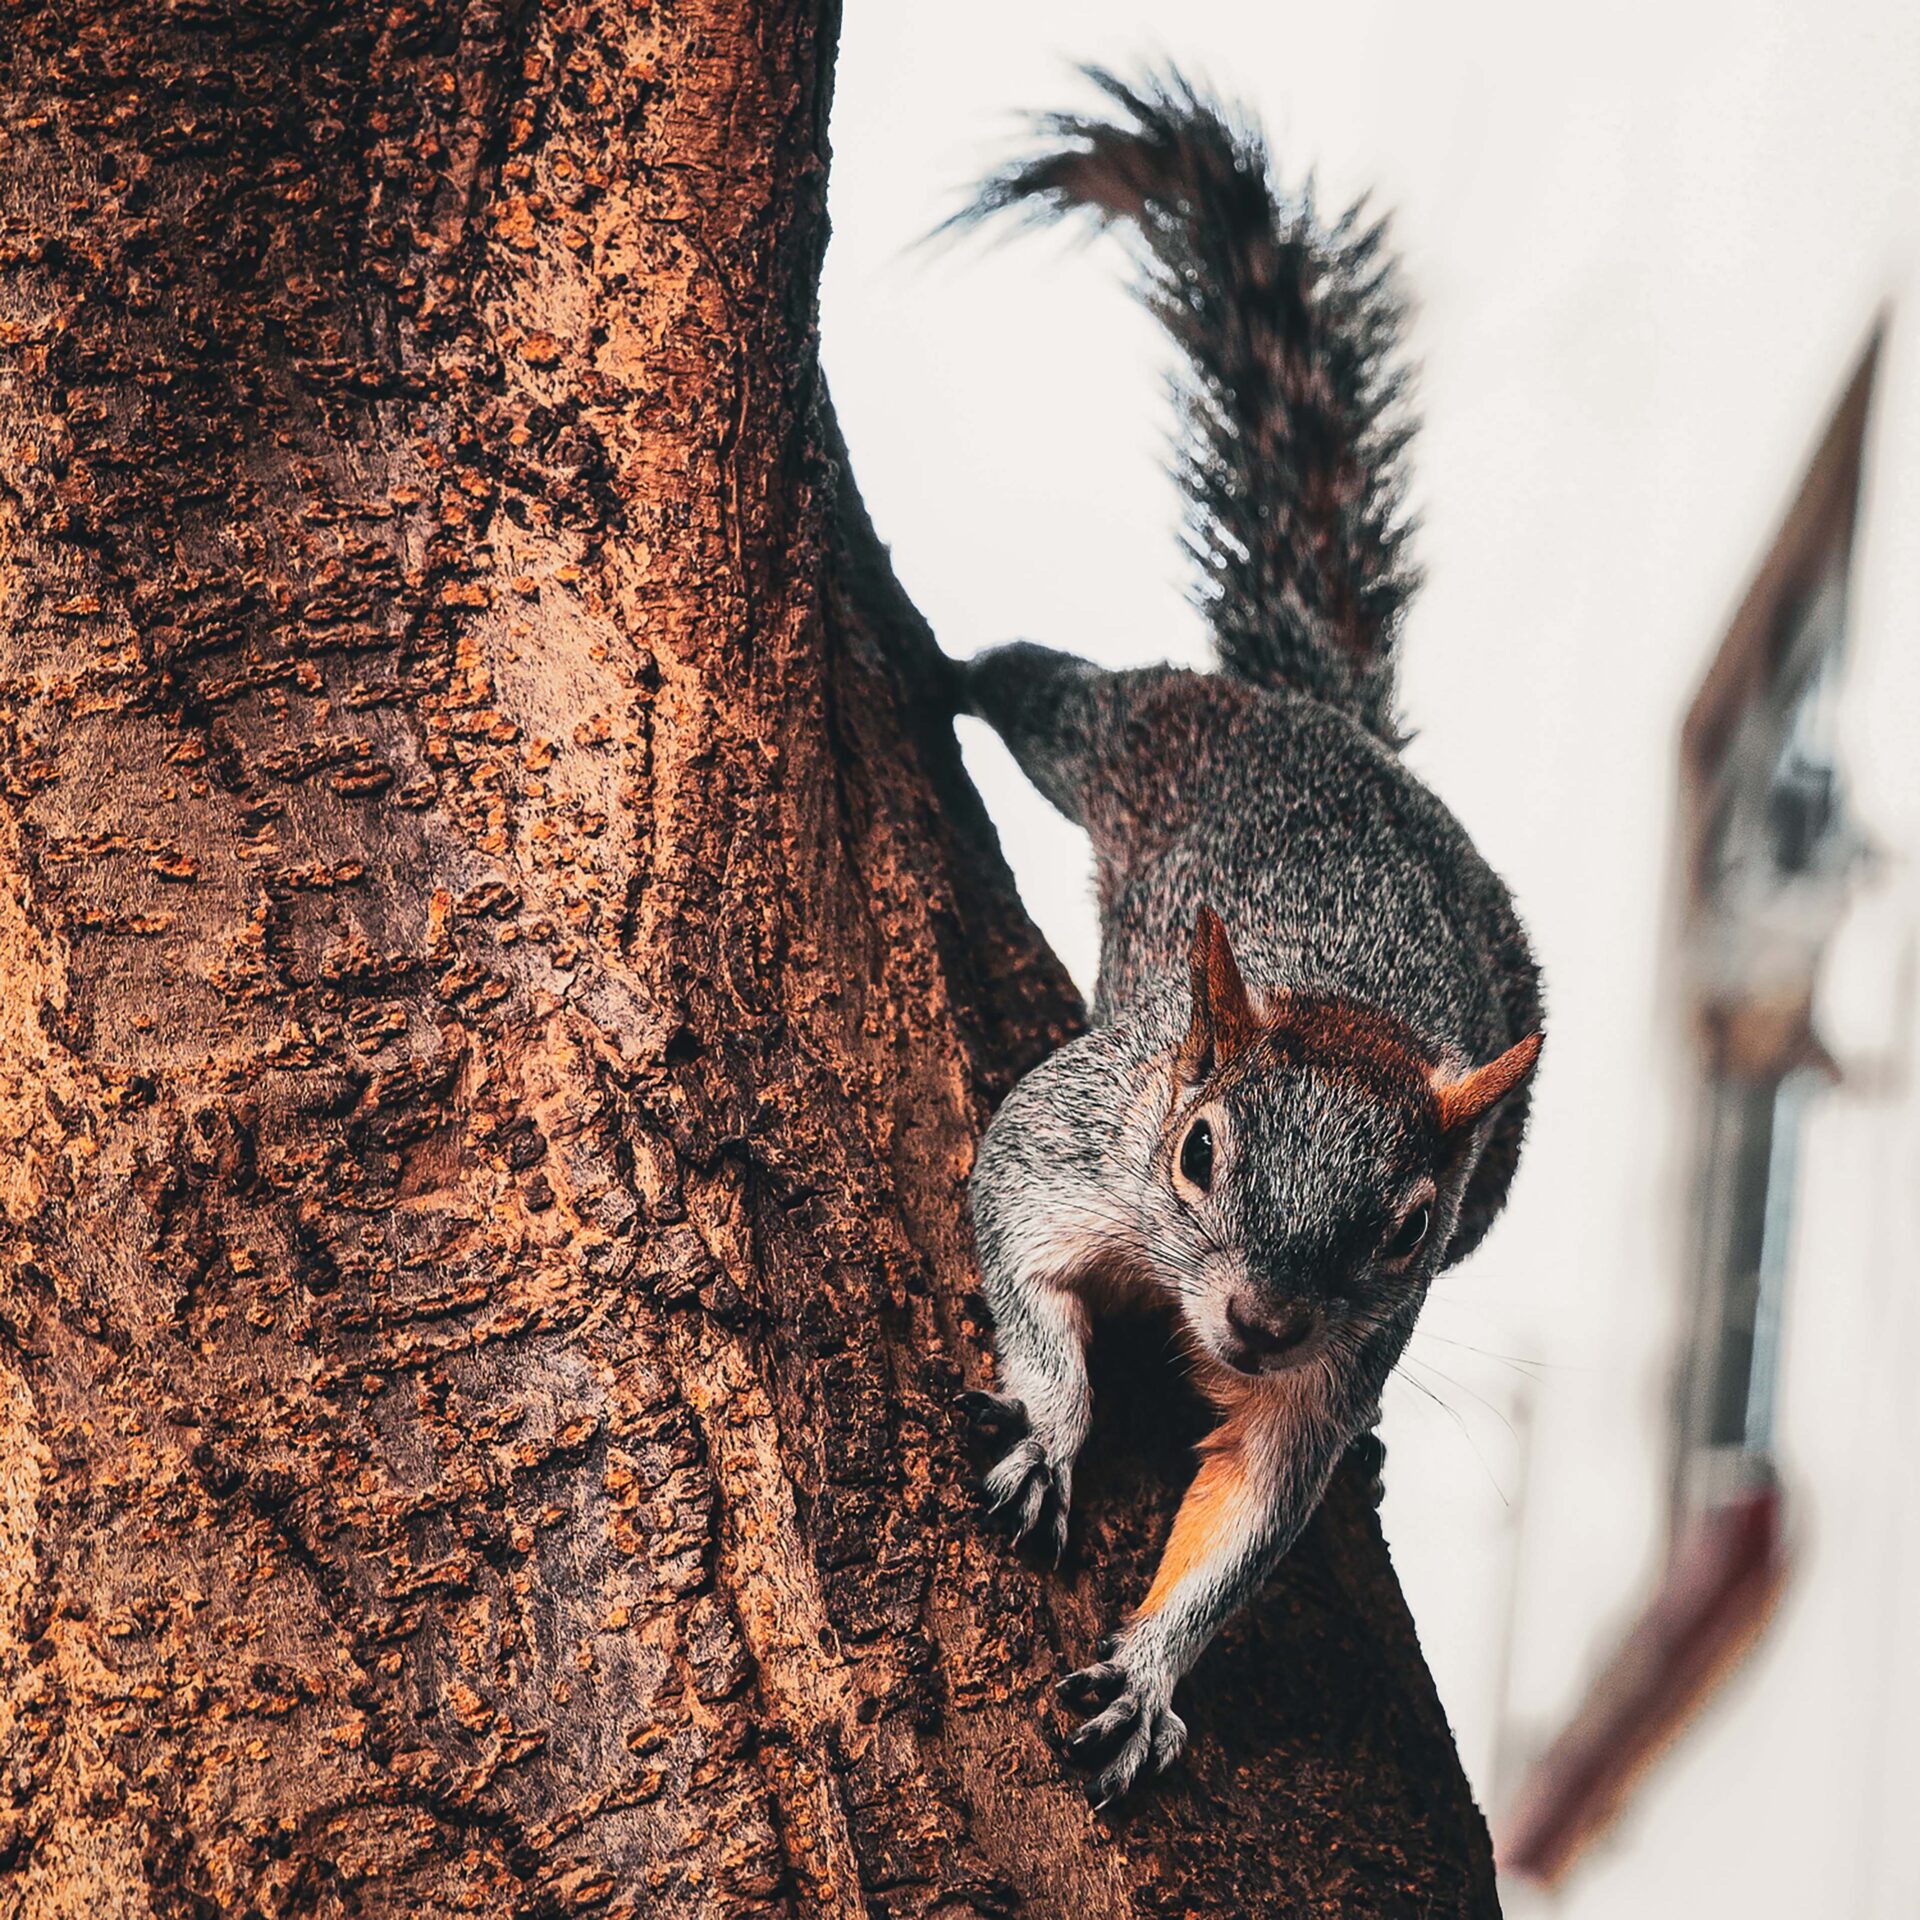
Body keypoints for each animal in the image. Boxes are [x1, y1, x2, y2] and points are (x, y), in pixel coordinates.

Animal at [952, 70, 1545, 1806]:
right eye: (1200, 1152)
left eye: (1406, 1227)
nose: (1263, 1323)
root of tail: (1337, 735)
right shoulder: (1072, 1139)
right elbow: (1020, 1264)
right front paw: (1056, 1429)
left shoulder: (1340, 1365)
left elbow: (1257, 1513)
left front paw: (1153, 1675)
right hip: (1132, 732)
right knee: (1037, 679)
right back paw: (937, 652)